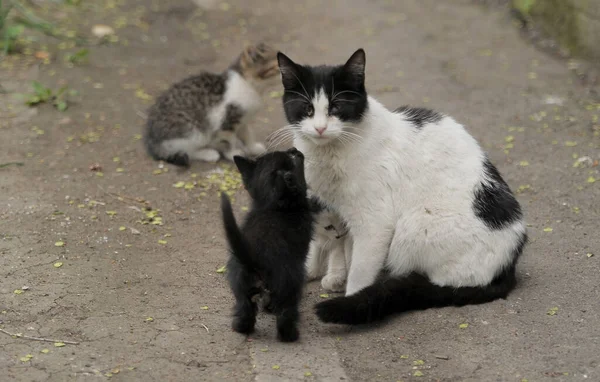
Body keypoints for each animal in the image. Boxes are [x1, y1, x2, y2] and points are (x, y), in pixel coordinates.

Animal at [145, 42, 278, 166]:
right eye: (277, 66)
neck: (250, 86)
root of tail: (152, 139)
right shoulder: (226, 122)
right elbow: (229, 140)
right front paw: (232, 153)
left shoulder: (243, 120)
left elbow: (247, 134)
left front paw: (253, 147)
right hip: (194, 130)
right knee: (186, 150)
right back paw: (208, 153)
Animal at [220, 148, 314, 342]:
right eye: (291, 160)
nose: (293, 150)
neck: (272, 206)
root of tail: (253, 259)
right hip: (290, 280)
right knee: (286, 313)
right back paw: (290, 335)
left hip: (240, 286)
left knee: (245, 309)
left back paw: (241, 327)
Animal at [276, 47, 524, 322]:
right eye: (307, 108)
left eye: (337, 106)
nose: (320, 128)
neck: (331, 152)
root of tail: (508, 262)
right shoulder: (339, 213)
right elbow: (337, 245)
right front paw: (320, 271)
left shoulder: (374, 223)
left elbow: (360, 269)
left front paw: (352, 297)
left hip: (415, 227)